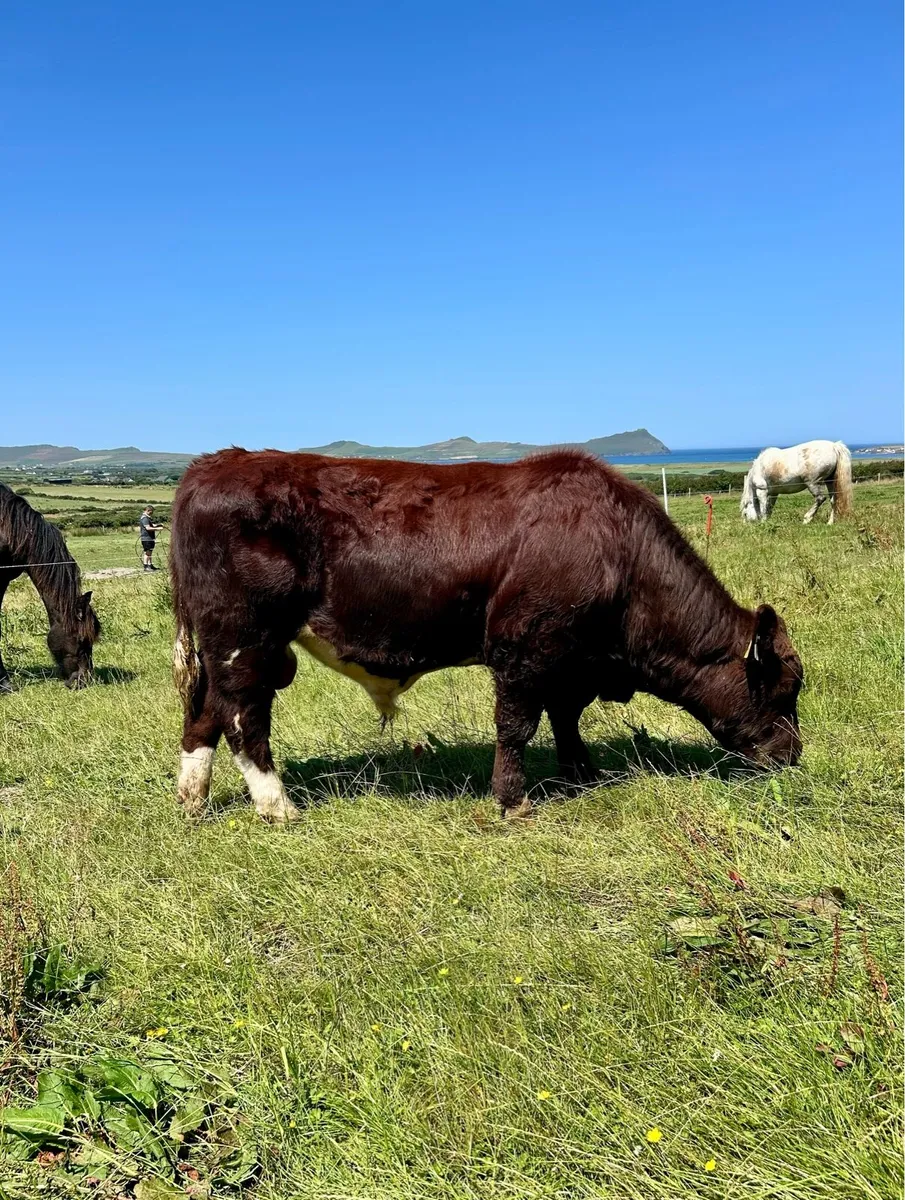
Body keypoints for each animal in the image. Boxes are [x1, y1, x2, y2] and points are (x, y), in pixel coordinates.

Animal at [170, 448, 802, 822]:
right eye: (783, 688)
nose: (794, 756)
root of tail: (212, 463)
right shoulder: (524, 649)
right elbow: (518, 725)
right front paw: (514, 801)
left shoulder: (569, 661)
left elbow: (565, 716)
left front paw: (581, 773)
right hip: (246, 639)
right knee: (243, 717)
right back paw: (278, 807)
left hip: (229, 647)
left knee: (203, 713)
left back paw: (193, 801)